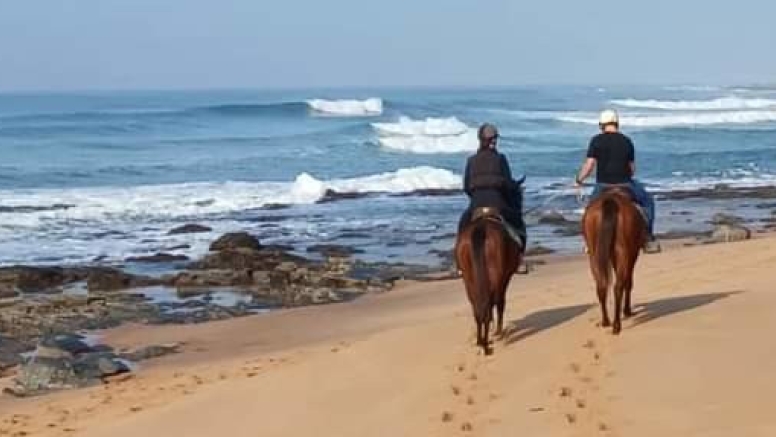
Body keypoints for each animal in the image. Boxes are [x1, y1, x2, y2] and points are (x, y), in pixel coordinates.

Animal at [455, 208, 522, 355]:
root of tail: (481, 228)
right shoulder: (506, 277)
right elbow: (500, 302)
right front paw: (498, 331)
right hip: (496, 278)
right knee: (492, 303)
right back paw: (486, 342)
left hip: (469, 279)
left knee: (478, 307)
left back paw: (480, 341)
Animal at [582, 186, 648, 335]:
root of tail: (611, 200)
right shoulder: (633, 254)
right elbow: (629, 282)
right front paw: (627, 311)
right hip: (623, 253)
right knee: (618, 286)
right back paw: (617, 325)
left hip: (594, 256)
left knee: (601, 286)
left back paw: (606, 321)